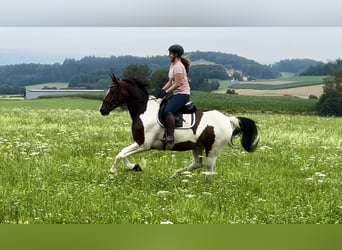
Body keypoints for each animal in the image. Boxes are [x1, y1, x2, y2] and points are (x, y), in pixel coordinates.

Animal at [97, 74, 258, 178]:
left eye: (112, 91)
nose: (102, 110)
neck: (144, 111)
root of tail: (227, 119)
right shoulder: (139, 143)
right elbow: (122, 153)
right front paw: (134, 167)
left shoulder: (144, 144)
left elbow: (120, 154)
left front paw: (113, 173)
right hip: (197, 146)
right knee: (197, 164)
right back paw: (176, 174)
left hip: (212, 149)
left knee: (209, 170)